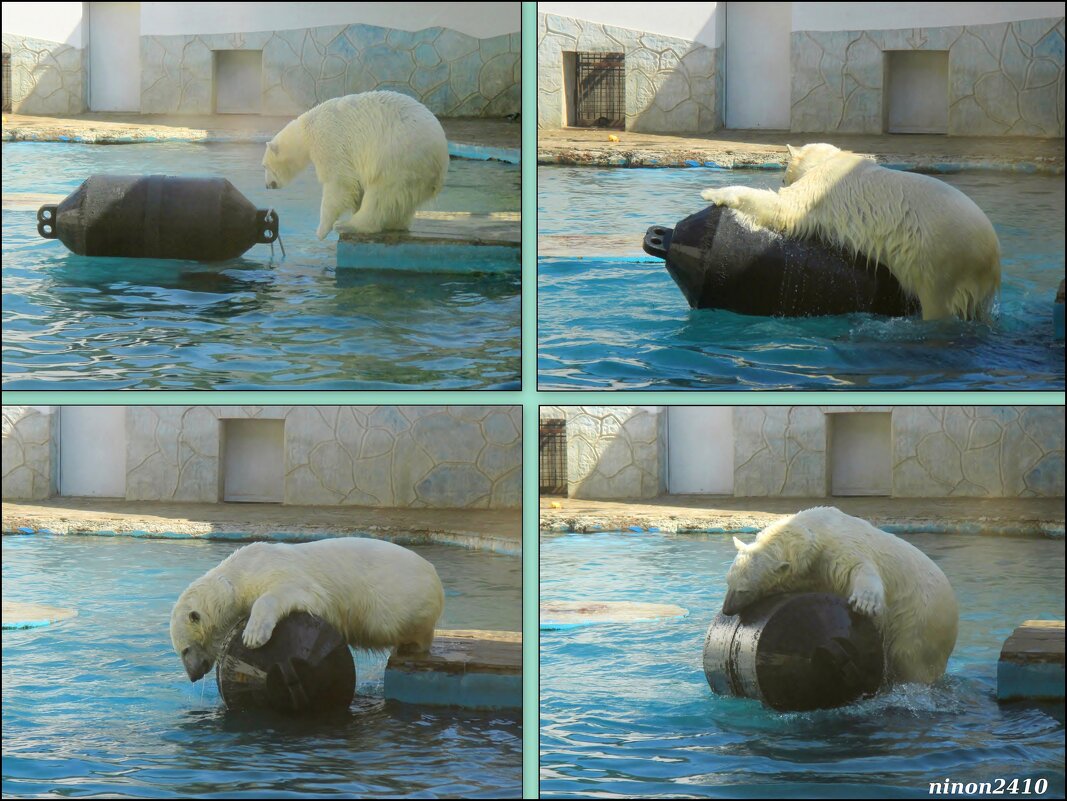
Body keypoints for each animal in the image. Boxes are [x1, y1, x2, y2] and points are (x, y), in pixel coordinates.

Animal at [169, 539, 441, 682]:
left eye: (185, 650)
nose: (193, 675)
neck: (238, 575)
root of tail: (433, 572)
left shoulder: (275, 571)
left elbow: (301, 592)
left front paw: (253, 635)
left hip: (407, 601)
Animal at [266, 90, 454, 239]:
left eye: (266, 166)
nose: (268, 185)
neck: (306, 130)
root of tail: (441, 156)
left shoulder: (330, 141)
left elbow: (339, 182)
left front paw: (321, 231)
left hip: (399, 156)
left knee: (381, 194)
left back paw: (349, 224)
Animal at [699, 142, 998, 322]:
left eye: (784, 176)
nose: (783, 179)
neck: (832, 159)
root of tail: (992, 262)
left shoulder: (823, 186)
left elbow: (786, 209)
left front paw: (714, 192)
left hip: (941, 260)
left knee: (938, 304)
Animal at [725, 507, 960, 682]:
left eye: (743, 590)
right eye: (728, 582)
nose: (727, 609)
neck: (812, 531)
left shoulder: (839, 547)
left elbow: (859, 567)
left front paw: (865, 603)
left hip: (919, 620)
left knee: (910, 658)